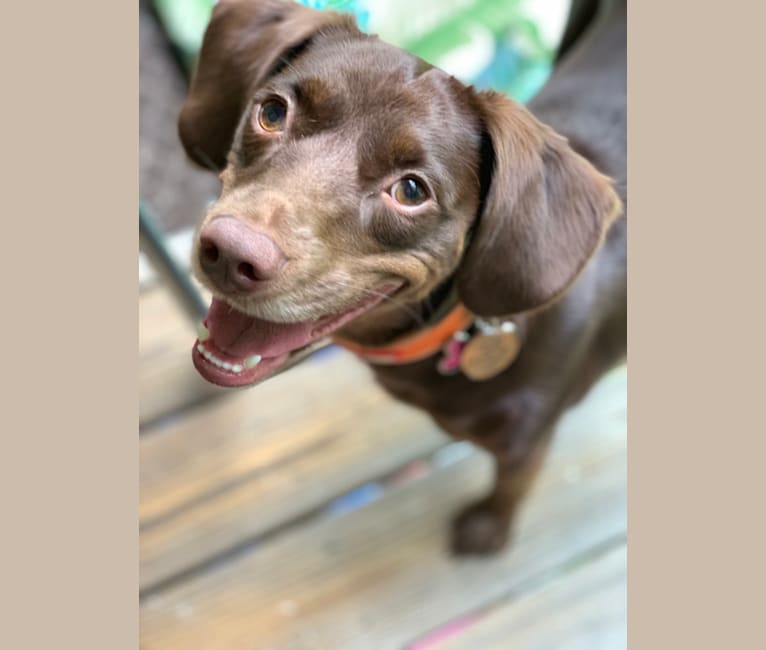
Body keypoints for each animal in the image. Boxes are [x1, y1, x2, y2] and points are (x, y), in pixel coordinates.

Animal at [182, 0, 632, 552]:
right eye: (271, 112)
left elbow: (511, 487)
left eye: (412, 191)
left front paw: (487, 531)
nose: (228, 253)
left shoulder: (528, 443)